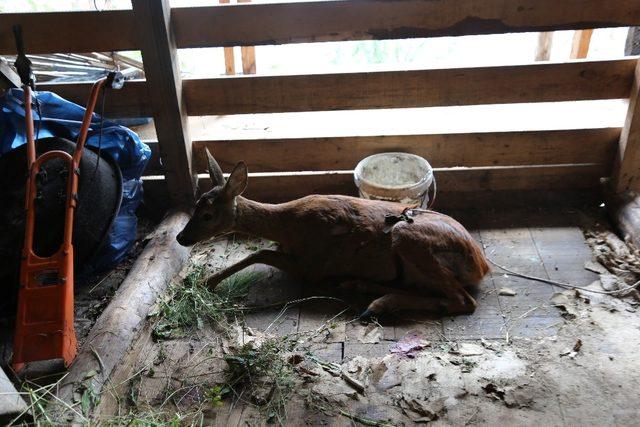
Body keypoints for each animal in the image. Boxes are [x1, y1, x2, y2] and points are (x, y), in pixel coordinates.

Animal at [176, 152, 490, 320]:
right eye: (196, 205)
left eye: (207, 215)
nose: (181, 238)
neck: (286, 226)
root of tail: (482, 266)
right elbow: (263, 251)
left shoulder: (313, 266)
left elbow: (260, 252)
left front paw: (206, 281)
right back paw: (361, 286)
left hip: (406, 235)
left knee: (463, 301)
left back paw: (379, 303)